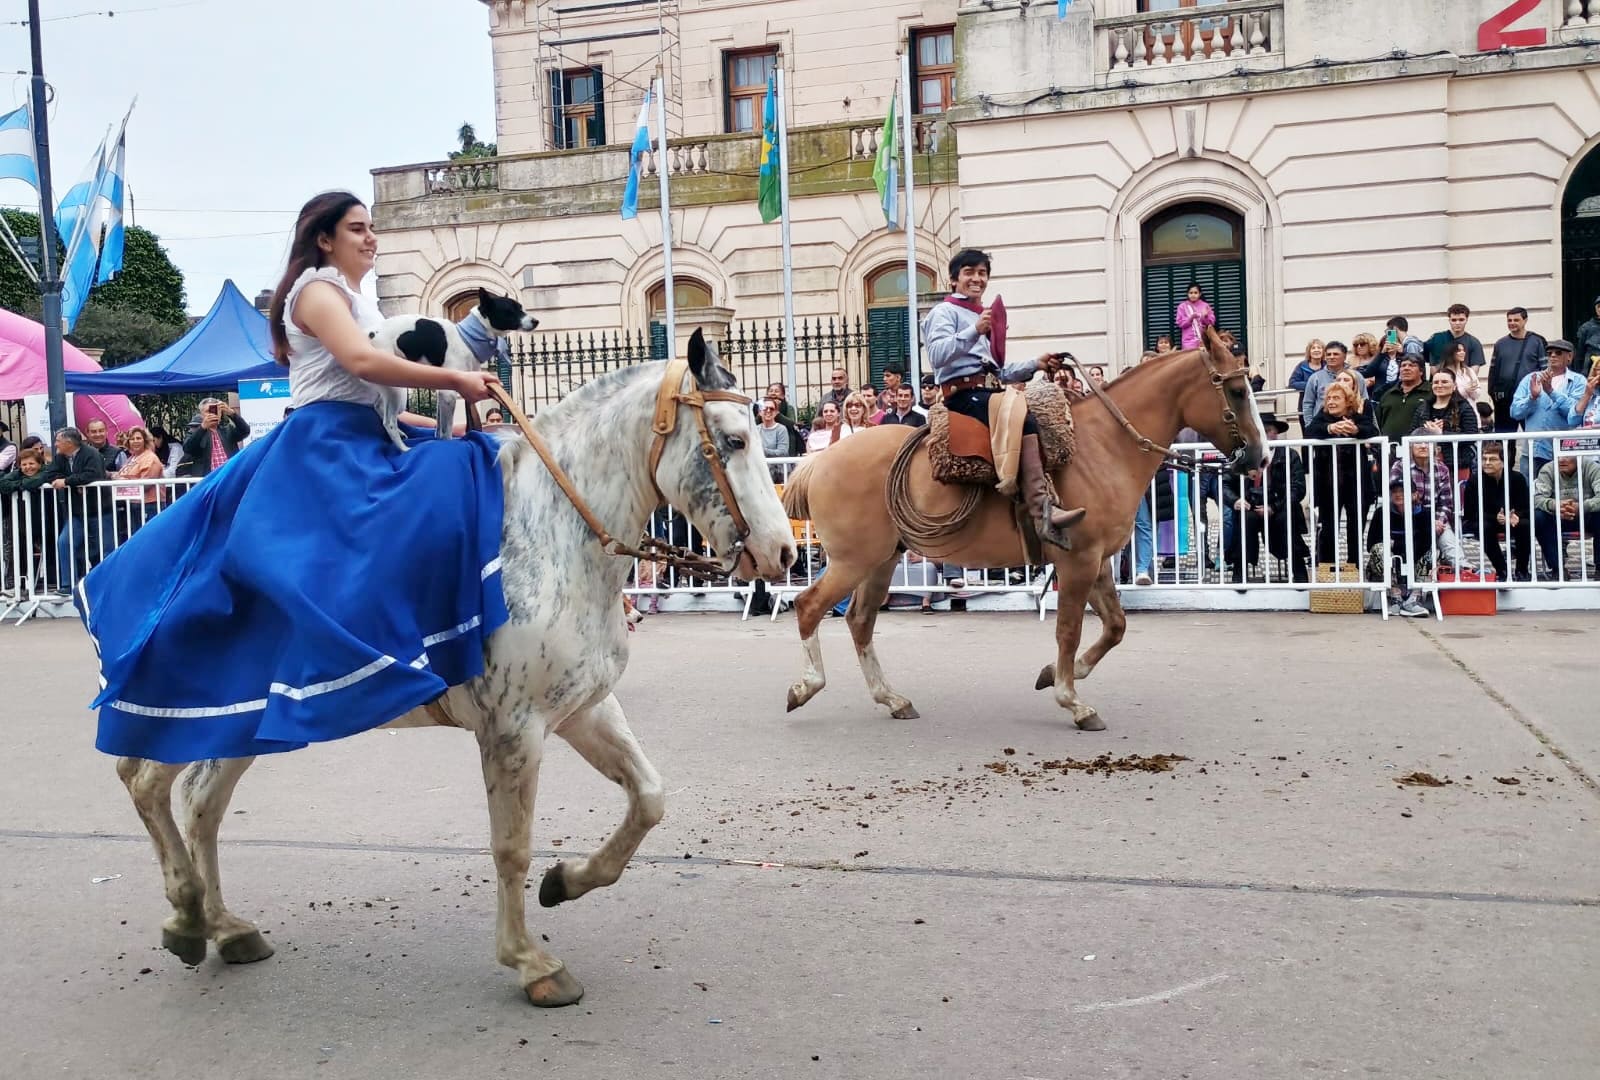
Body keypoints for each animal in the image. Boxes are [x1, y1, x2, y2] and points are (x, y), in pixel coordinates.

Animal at [368, 288, 537, 448]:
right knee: (388, 422)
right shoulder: (449, 394)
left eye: (520, 308)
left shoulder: (443, 392)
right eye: (510, 311)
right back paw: (404, 449)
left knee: (379, 407)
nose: (536, 321)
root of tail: (368, 334)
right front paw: (448, 444)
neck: (467, 339)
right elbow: (446, 429)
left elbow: (440, 426)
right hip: (397, 390)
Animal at [780, 329, 1267, 729]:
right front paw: (1072, 699)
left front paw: (1055, 674)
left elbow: (1115, 626)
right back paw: (806, 686)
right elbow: (1069, 630)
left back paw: (892, 698)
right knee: (809, 606)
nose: (1260, 456)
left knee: (860, 620)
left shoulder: (1097, 561)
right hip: (853, 560)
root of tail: (819, 462)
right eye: (1237, 390)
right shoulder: (1078, 561)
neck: (1103, 445)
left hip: (880, 560)